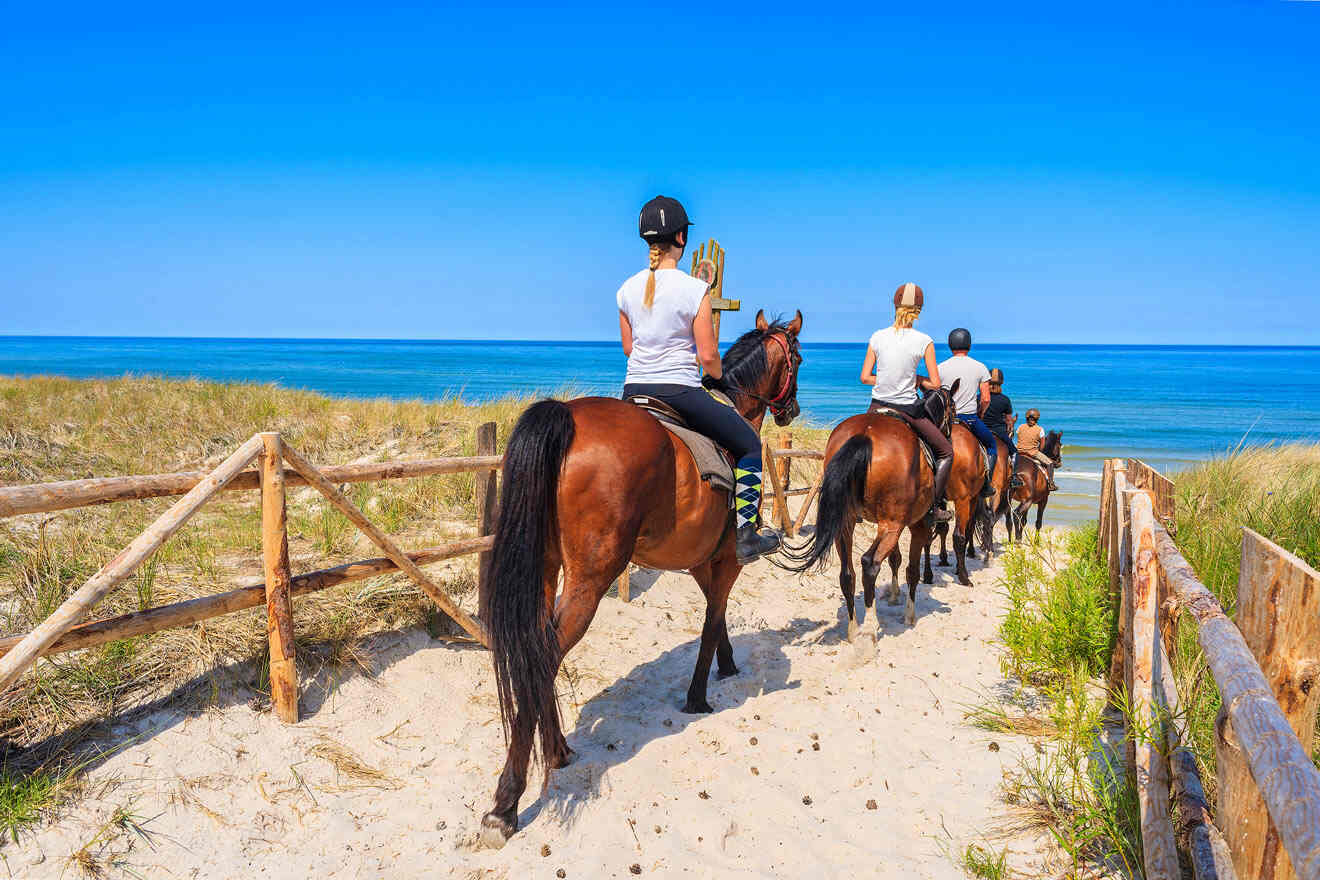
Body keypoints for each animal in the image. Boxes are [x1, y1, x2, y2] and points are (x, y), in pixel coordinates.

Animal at [477, 310, 797, 844]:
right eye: (798, 357)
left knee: (536, 652)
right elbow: (712, 620)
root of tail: (568, 418)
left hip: (546, 570)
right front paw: (698, 696)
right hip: (590, 578)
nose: (791, 409)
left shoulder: (700, 562)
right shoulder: (728, 560)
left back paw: (557, 751)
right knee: (546, 655)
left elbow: (716, 618)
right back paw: (506, 803)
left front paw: (727, 665)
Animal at [776, 382, 955, 635]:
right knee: (870, 563)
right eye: (954, 410)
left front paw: (894, 595)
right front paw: (909, 615)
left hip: (848, 522)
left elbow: (895, 559)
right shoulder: (917, 525)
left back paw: (853, 630)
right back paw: (870, 626)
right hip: (892, 525)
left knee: (847, 573)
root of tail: (865, 434)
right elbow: (911, 570)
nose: (949, 434)